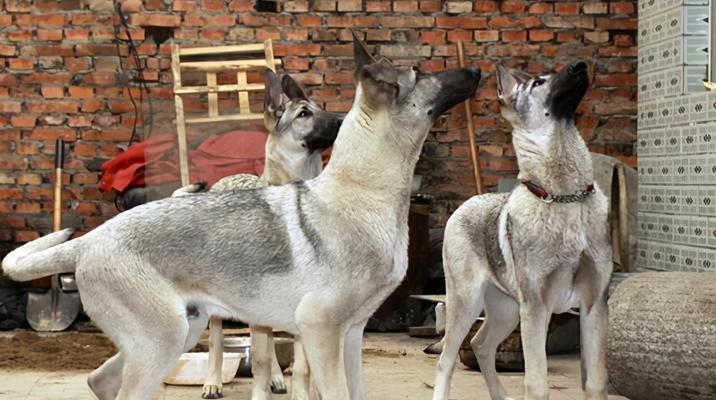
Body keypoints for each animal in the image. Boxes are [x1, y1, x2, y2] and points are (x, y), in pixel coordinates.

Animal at [4, 32, 482, 400]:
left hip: (180, 332)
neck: (363, 191)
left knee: (99, 381)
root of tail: (93, 237)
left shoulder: (350, 335)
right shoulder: (321, 331)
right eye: (422, 73)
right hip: (162, 342)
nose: (477, 71)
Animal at [430, 60, 608, 400]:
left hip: (507, 311)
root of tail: (467, 202)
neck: (566, 197)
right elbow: (537, 384)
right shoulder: (536, 309)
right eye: (539, 82)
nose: (579, 65)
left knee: (481, 345)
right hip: (468, 304)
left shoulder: (592, 306)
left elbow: (595, 383)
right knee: (447, 359)